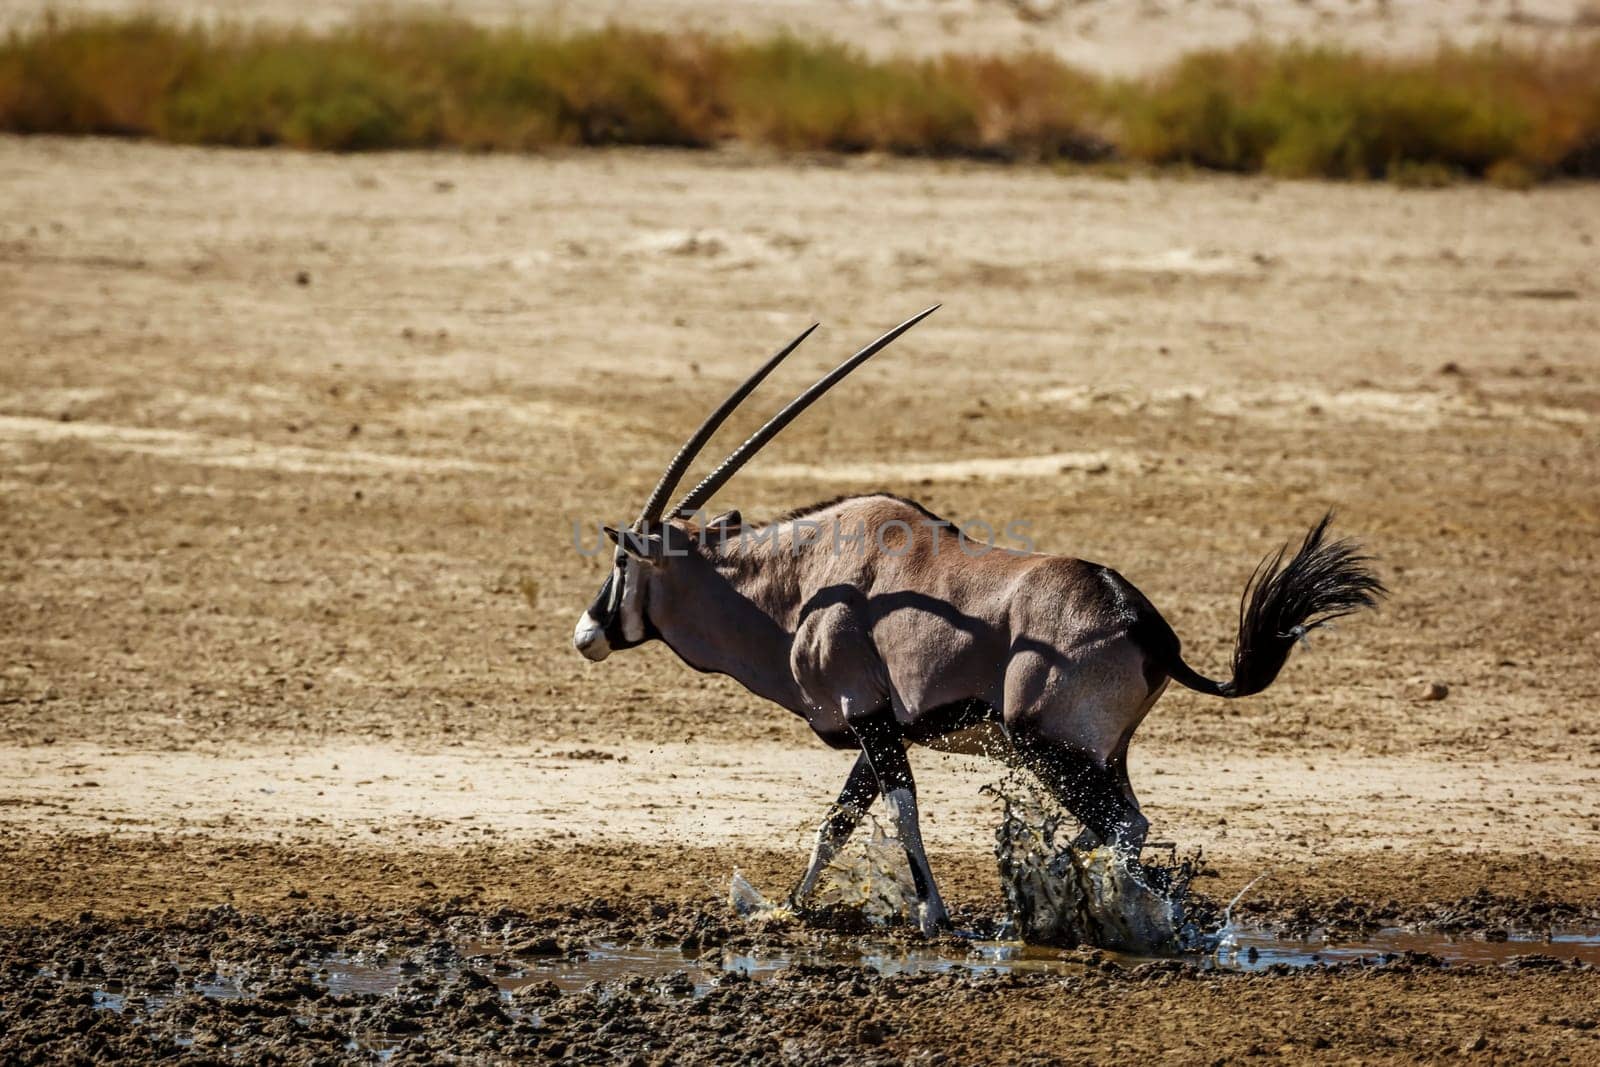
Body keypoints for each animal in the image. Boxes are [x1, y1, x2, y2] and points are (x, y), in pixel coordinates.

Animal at [576, 308, 1388, 934]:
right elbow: (837, 822)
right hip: (1103, 754)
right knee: (1122, 825)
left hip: (1049, 746)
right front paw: (788, 906)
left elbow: (901, 811)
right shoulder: (883, 730)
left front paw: (931, 914)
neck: (800, 585)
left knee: (1127, 827)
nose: (587, 633)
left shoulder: (871, 718)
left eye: (620, 561)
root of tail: (1144, 623)